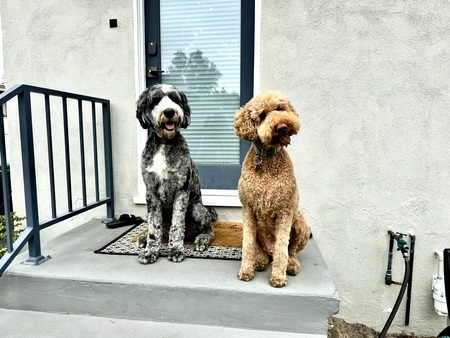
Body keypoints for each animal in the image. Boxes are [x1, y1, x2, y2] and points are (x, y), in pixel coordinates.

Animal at [135, 83, 216, 262]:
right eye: (155, 100)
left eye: (174, 98)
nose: (169, 112)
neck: (164, 143)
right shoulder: (151, 193)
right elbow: (153, 227)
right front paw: (150, 251)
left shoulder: (181, 190)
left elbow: (177, 224)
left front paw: (176, 250)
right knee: (161, 232)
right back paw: (143, 238)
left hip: (196, 208)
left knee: (208, 229)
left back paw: (201, 240)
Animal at [232, 92, 310, 288]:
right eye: (262, 115)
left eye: (280, 108)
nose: (282, 127)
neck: (267, 158)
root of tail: (270, 251)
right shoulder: (248, 209)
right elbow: (248, 245)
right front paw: (246, 271)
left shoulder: (285, 211)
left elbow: (283, 246)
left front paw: (278, 277)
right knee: (260, 250)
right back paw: (259, 261)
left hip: (301, 225)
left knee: (292, 250)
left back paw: (291, 265)